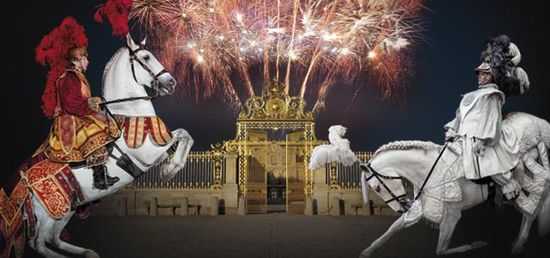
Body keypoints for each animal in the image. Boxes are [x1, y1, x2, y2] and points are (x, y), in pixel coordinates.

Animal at [19, 34, 195, 258]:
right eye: (146, 57)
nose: (171, 83)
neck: (129, 112)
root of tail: (21, 184)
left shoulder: (159, 147)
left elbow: (185, 135)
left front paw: (170, 167)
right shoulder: (148, 153)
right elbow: (182, 135)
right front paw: (169, 170)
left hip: (67, 210)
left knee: (52, 239)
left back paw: (88, 252)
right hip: (49, 213)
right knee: (39, 244)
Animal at [310, 113, 550, 258]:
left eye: (376, 188)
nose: (402, 206)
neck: (428, 171)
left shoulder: (452, 214)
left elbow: (440, 250)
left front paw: (475, 244)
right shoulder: (422, 208)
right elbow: (392, 229)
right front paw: (366, 251)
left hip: (526, 173)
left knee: (534, 204)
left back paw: (519, 243)